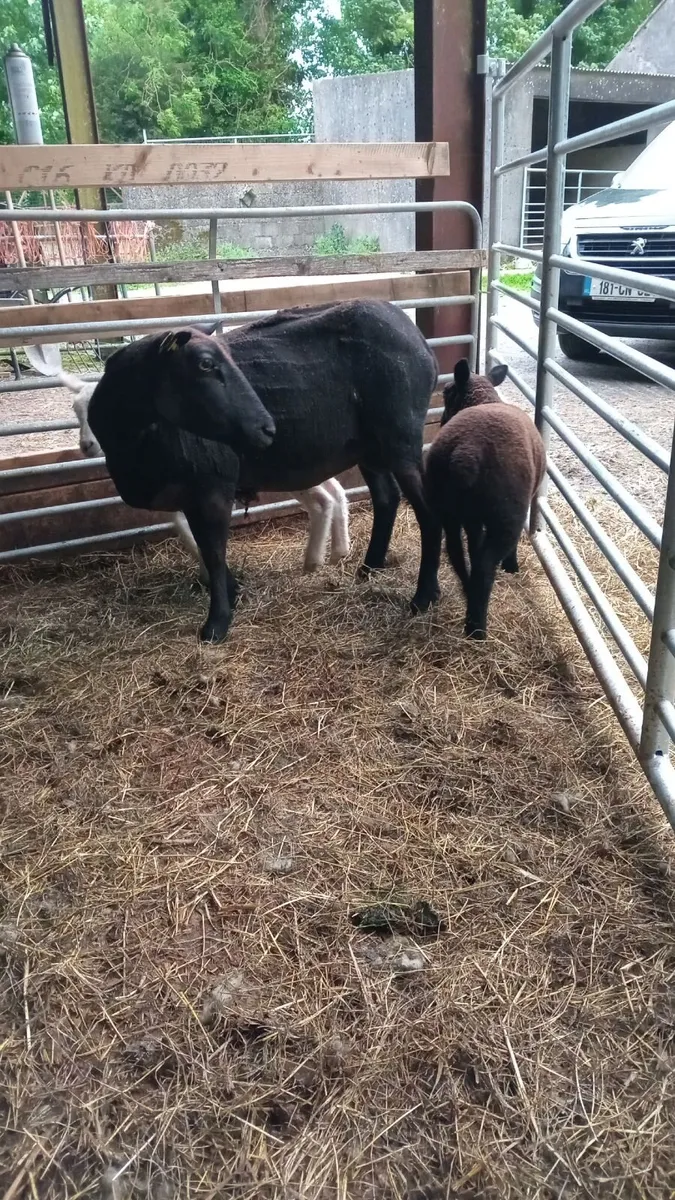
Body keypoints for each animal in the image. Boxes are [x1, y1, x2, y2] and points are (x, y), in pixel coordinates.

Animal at [59, 370, 351, 579]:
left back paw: (313, 561)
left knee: (322, 501)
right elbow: (181, 526)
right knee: (337, 492)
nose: (86, 445)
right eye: (75, 410)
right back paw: (339, 550)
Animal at [423, 358, 546, 639]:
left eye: (447, 393)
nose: (441, 421)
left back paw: (463, 593)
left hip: (445, 508)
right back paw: (476, 627)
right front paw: (512, 566)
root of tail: (465, 453)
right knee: (485, 565)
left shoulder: (471, 518)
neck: (483, 399)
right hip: (506, 514)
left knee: (452, 551)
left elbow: (472, 545)